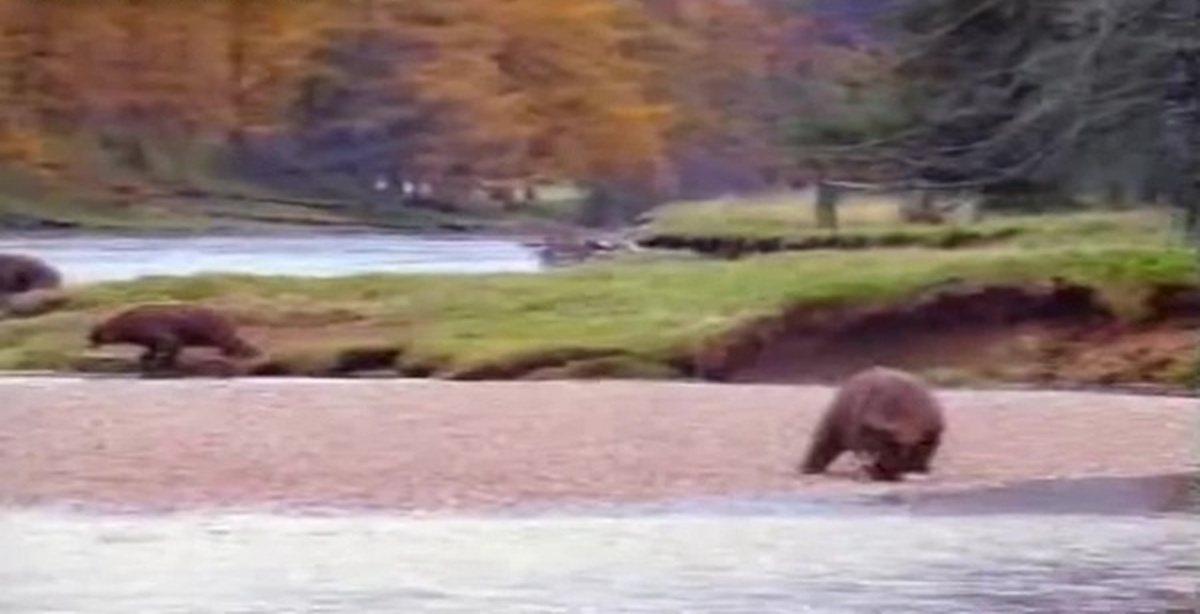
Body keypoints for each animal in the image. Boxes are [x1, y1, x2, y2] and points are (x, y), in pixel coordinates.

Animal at [89, 303, 265, 371]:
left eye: (95, 334)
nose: (89, 341)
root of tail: (228, 316)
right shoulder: (149, 338)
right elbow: (152, 348)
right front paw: (146, 358)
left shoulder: (159, 331)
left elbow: (170, 345)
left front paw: (165, 362)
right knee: (236, 342)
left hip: (216, 331)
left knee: (231, 343)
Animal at [796, 366, 945, 482]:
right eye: (890, 445)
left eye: (894, 447)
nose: (887, 471)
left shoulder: (929, 435)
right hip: (834, 421)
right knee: (823, 442)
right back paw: (809, 469)